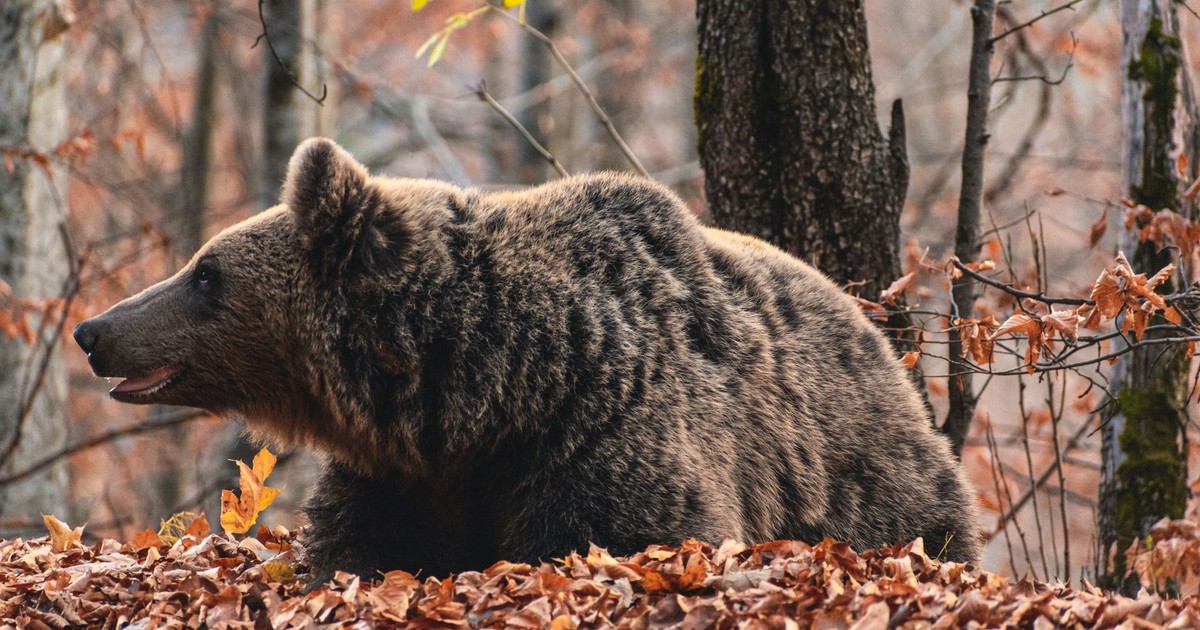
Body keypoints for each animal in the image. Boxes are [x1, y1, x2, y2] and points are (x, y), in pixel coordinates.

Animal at [74, 137, 981, 582]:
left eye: (206, 274)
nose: (94, 330)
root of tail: (879, 338)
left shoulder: (603, 429)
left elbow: (621, 531)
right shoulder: (409, 474)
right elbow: (362, 547)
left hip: (868, 487)